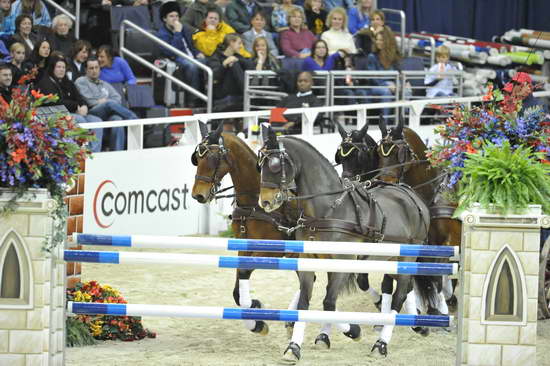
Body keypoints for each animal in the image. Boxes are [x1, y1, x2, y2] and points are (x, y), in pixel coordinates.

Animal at [260, 126, 434, 360]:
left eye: (274, 165)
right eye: (259, 164)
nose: (265, 201)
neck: (327, 210)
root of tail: (411, 195)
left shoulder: (343, 262)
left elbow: (329, 303)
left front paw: (353, 330)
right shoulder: (308, 260)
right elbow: (307, 303)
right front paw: (294, 347)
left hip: (406, 258)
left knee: (399, 296)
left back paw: (381, 343)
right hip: (390, 259)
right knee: (401, 290)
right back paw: (414, 325)